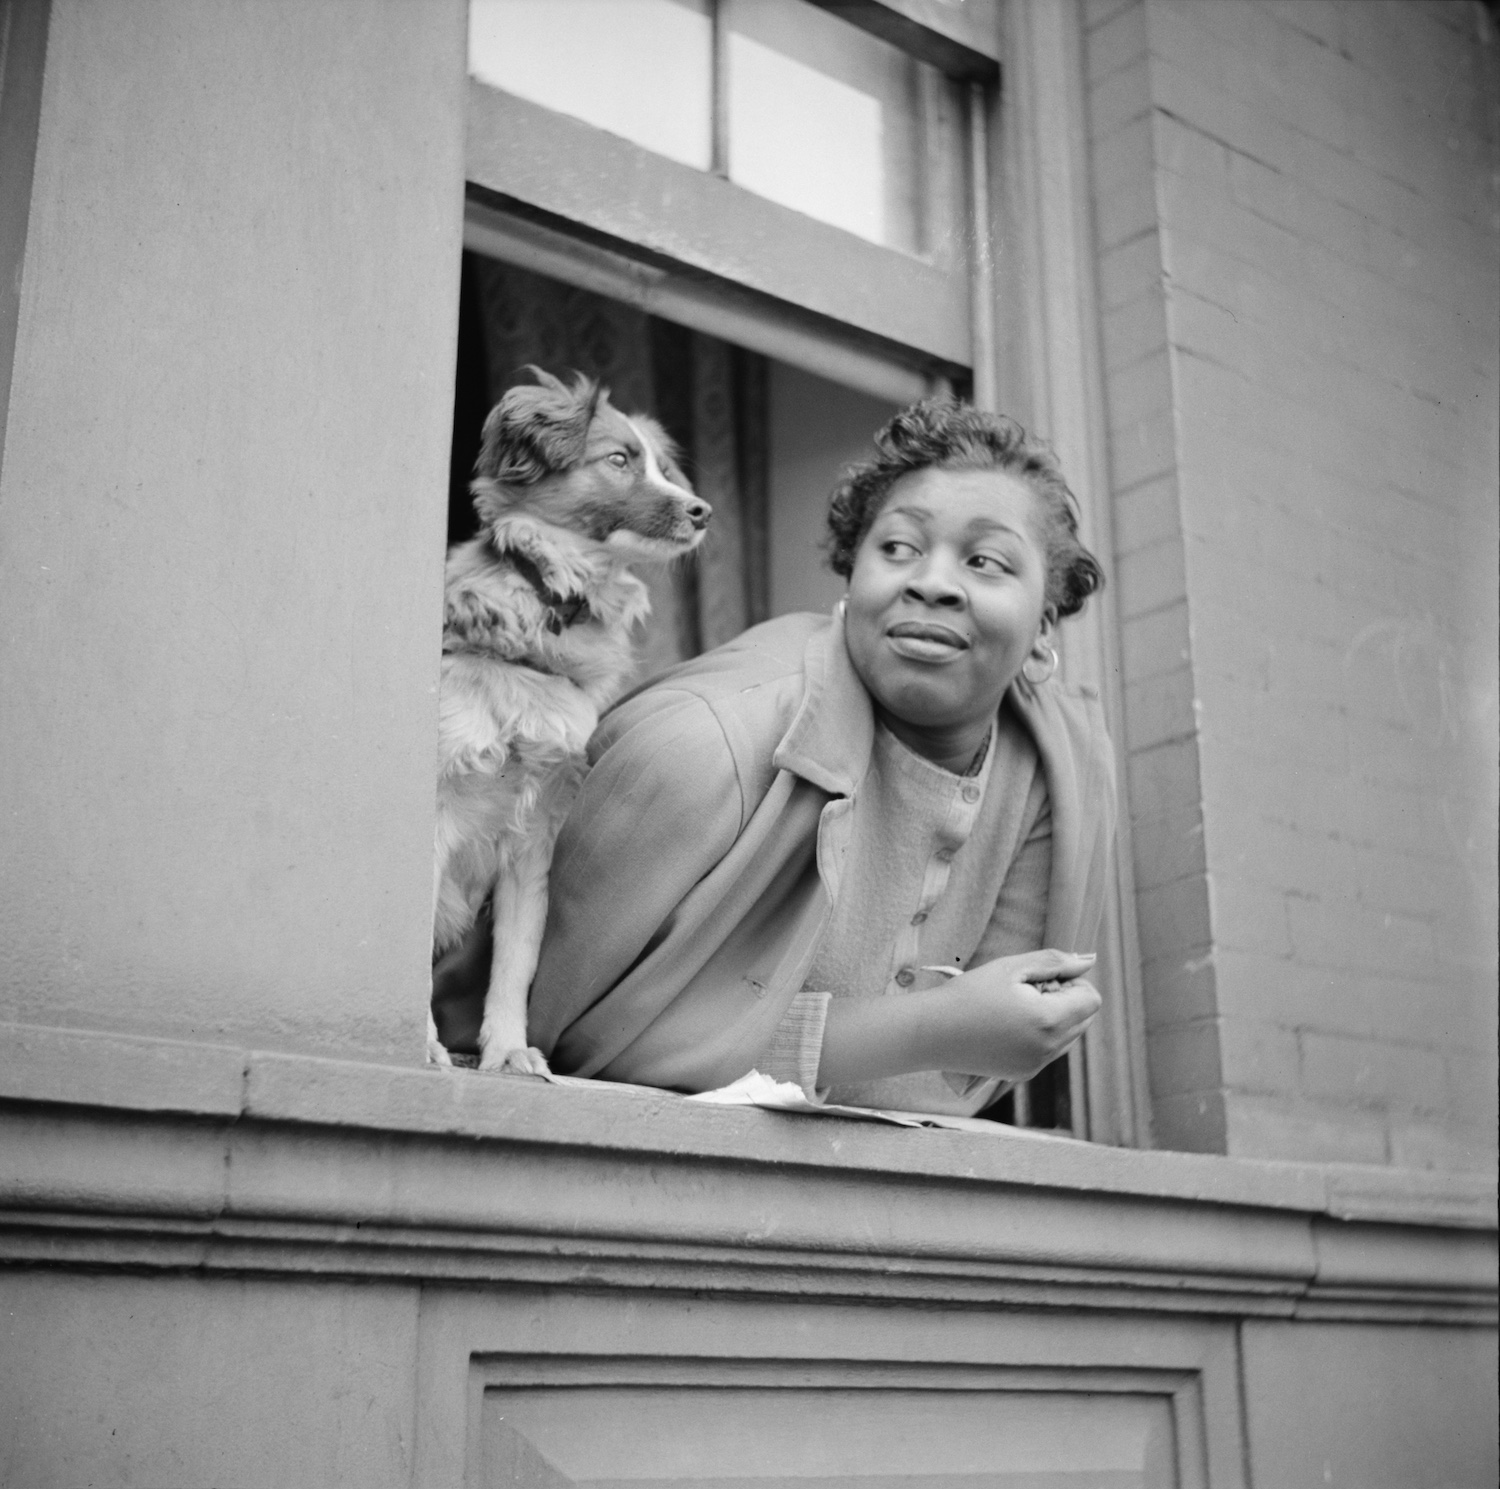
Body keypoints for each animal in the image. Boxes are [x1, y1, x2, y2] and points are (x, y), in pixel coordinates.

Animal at [432, 370, 711, 1067]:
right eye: (618, 460)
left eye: (662, 466)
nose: (704, 511)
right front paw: (421, 1045)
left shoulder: (533, 837)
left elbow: (516, 962)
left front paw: (508, 1052)